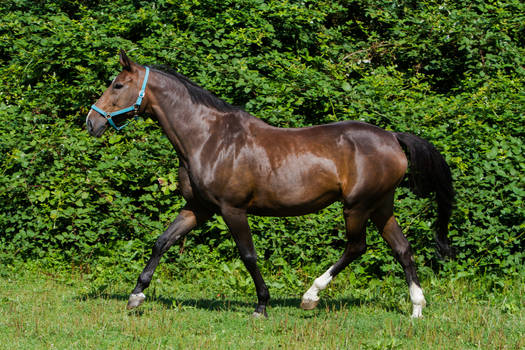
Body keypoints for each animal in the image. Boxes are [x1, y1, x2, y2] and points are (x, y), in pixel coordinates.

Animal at [87, 50, 454, 318]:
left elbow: (248, 255)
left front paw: (262, 305)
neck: (209, 138)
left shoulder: (232, 209)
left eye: (117, 85)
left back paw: (310, 297)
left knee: (356, 247)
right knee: (402, 249)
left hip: (357, 206)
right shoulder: (199, 208)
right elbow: (162, 241)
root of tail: (392, 137)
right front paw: (137, 295)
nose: (91, 122)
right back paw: (417, 309)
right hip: (381, 205)